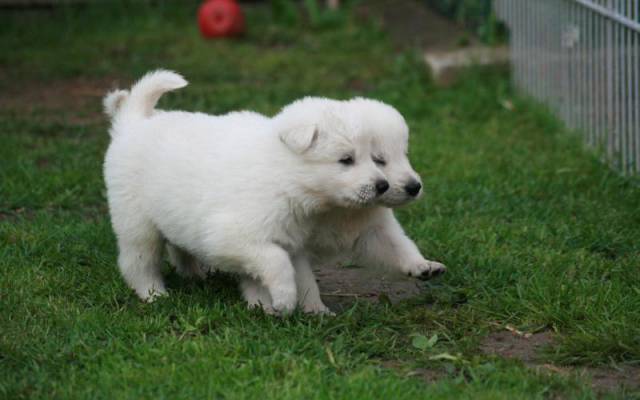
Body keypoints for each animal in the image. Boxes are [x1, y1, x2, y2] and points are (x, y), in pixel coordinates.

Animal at [103, 70, 390, 314]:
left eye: (372, 157)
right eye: (346, 160)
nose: (383, 185)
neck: (283, 175)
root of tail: (133, 122)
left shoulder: (290, 239)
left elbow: (303, 276)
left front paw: (314, 310)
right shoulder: (230, 236)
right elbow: (277, 261)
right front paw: (283, 299)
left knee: (178, 248)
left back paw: (194, 275)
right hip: (137, 223)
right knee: (137, 262)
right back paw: (154, 294)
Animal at [165, 97, 446, 314]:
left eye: (404, 155)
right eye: (379, 159)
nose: (414, 186)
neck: (338, 209)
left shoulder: (373, 225)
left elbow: (397, 244)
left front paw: (422, 265)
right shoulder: (295, 243)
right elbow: (303, 279)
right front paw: (315, 309)